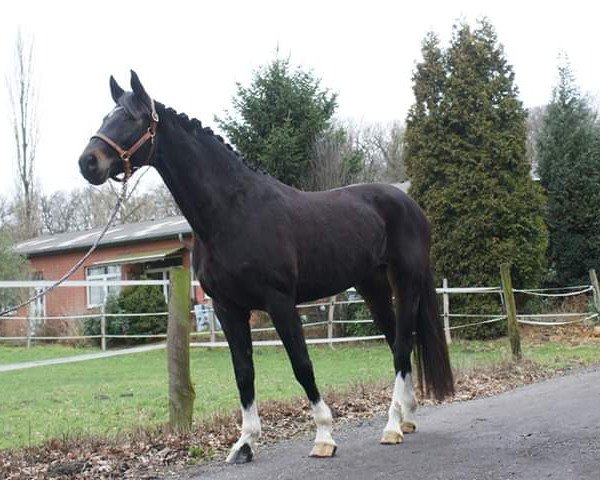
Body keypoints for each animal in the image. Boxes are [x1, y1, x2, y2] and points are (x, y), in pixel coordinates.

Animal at [77, 69, 452, 464]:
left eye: (131, 119)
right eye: (105, 117)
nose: (88, 163)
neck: (231, 212)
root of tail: (409, 204)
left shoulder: (280, 302)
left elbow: (302, 365)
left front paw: (324, 435)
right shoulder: (227, 308)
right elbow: (244, 373)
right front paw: (245, 443)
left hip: (406, 282)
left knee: (401, 344)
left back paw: (392, 425)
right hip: (372, 286)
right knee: (398, 344)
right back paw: (406, 417)